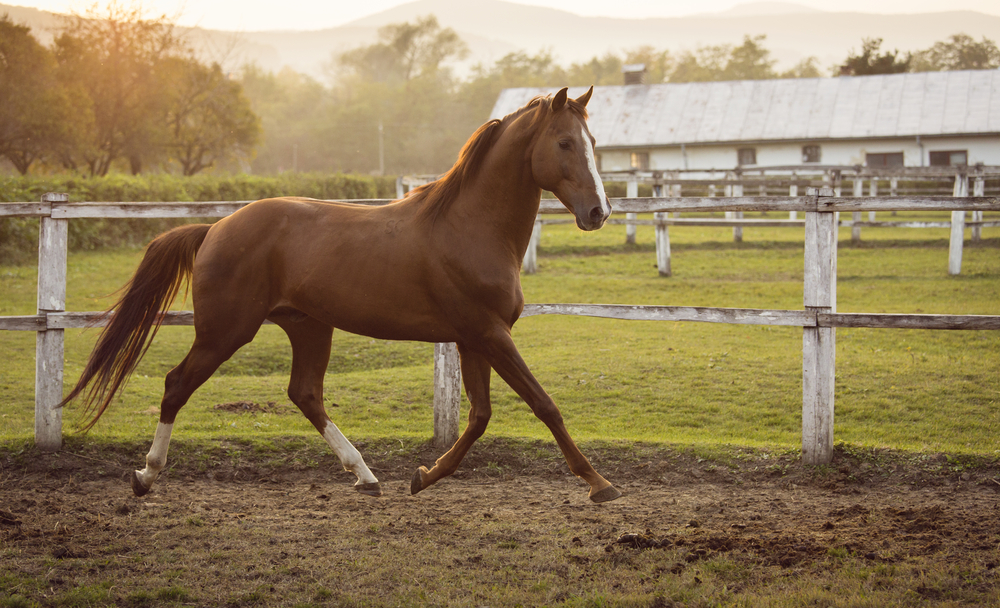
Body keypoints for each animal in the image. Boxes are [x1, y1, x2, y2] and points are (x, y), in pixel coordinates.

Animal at [58, 85, 620, 504]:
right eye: (565, 143)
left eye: (593, 139)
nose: (598, 212)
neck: (469, 226)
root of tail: (215, 227)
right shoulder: (489, 333)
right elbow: (544, 405)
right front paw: (600, 484)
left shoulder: (473, 338)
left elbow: (479, 418)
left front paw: (422, 476)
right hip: (225, 332)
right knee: (177, 385)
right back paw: (145, 476)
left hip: (308, 326)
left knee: (305, 393)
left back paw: (366, 476)